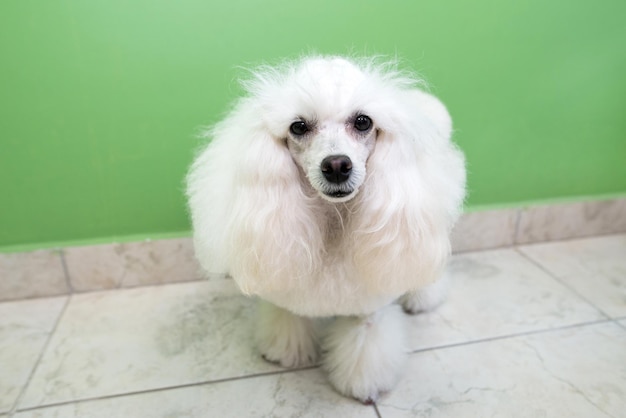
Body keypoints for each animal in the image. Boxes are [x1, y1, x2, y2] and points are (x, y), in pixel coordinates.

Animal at [185, 55, 464, 402]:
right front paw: (284, 352)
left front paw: (364, 385)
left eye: (363, 122)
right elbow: (288, 318)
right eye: (298, 126)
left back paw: (422, 298)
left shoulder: (368, 306)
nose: (336, 166)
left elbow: (366, 342)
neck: (333, 221)